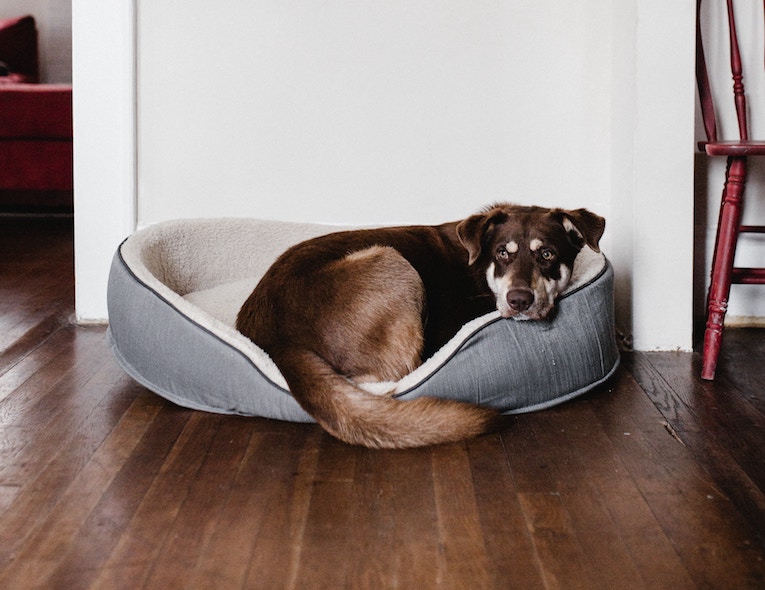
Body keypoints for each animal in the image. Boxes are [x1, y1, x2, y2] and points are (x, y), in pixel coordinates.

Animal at [236, 204, 604, 448]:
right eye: (502, 252)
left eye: (547, 254)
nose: (519, 300)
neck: (480, 268)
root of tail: (276, 339)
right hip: (393, 262)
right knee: (395, 376)